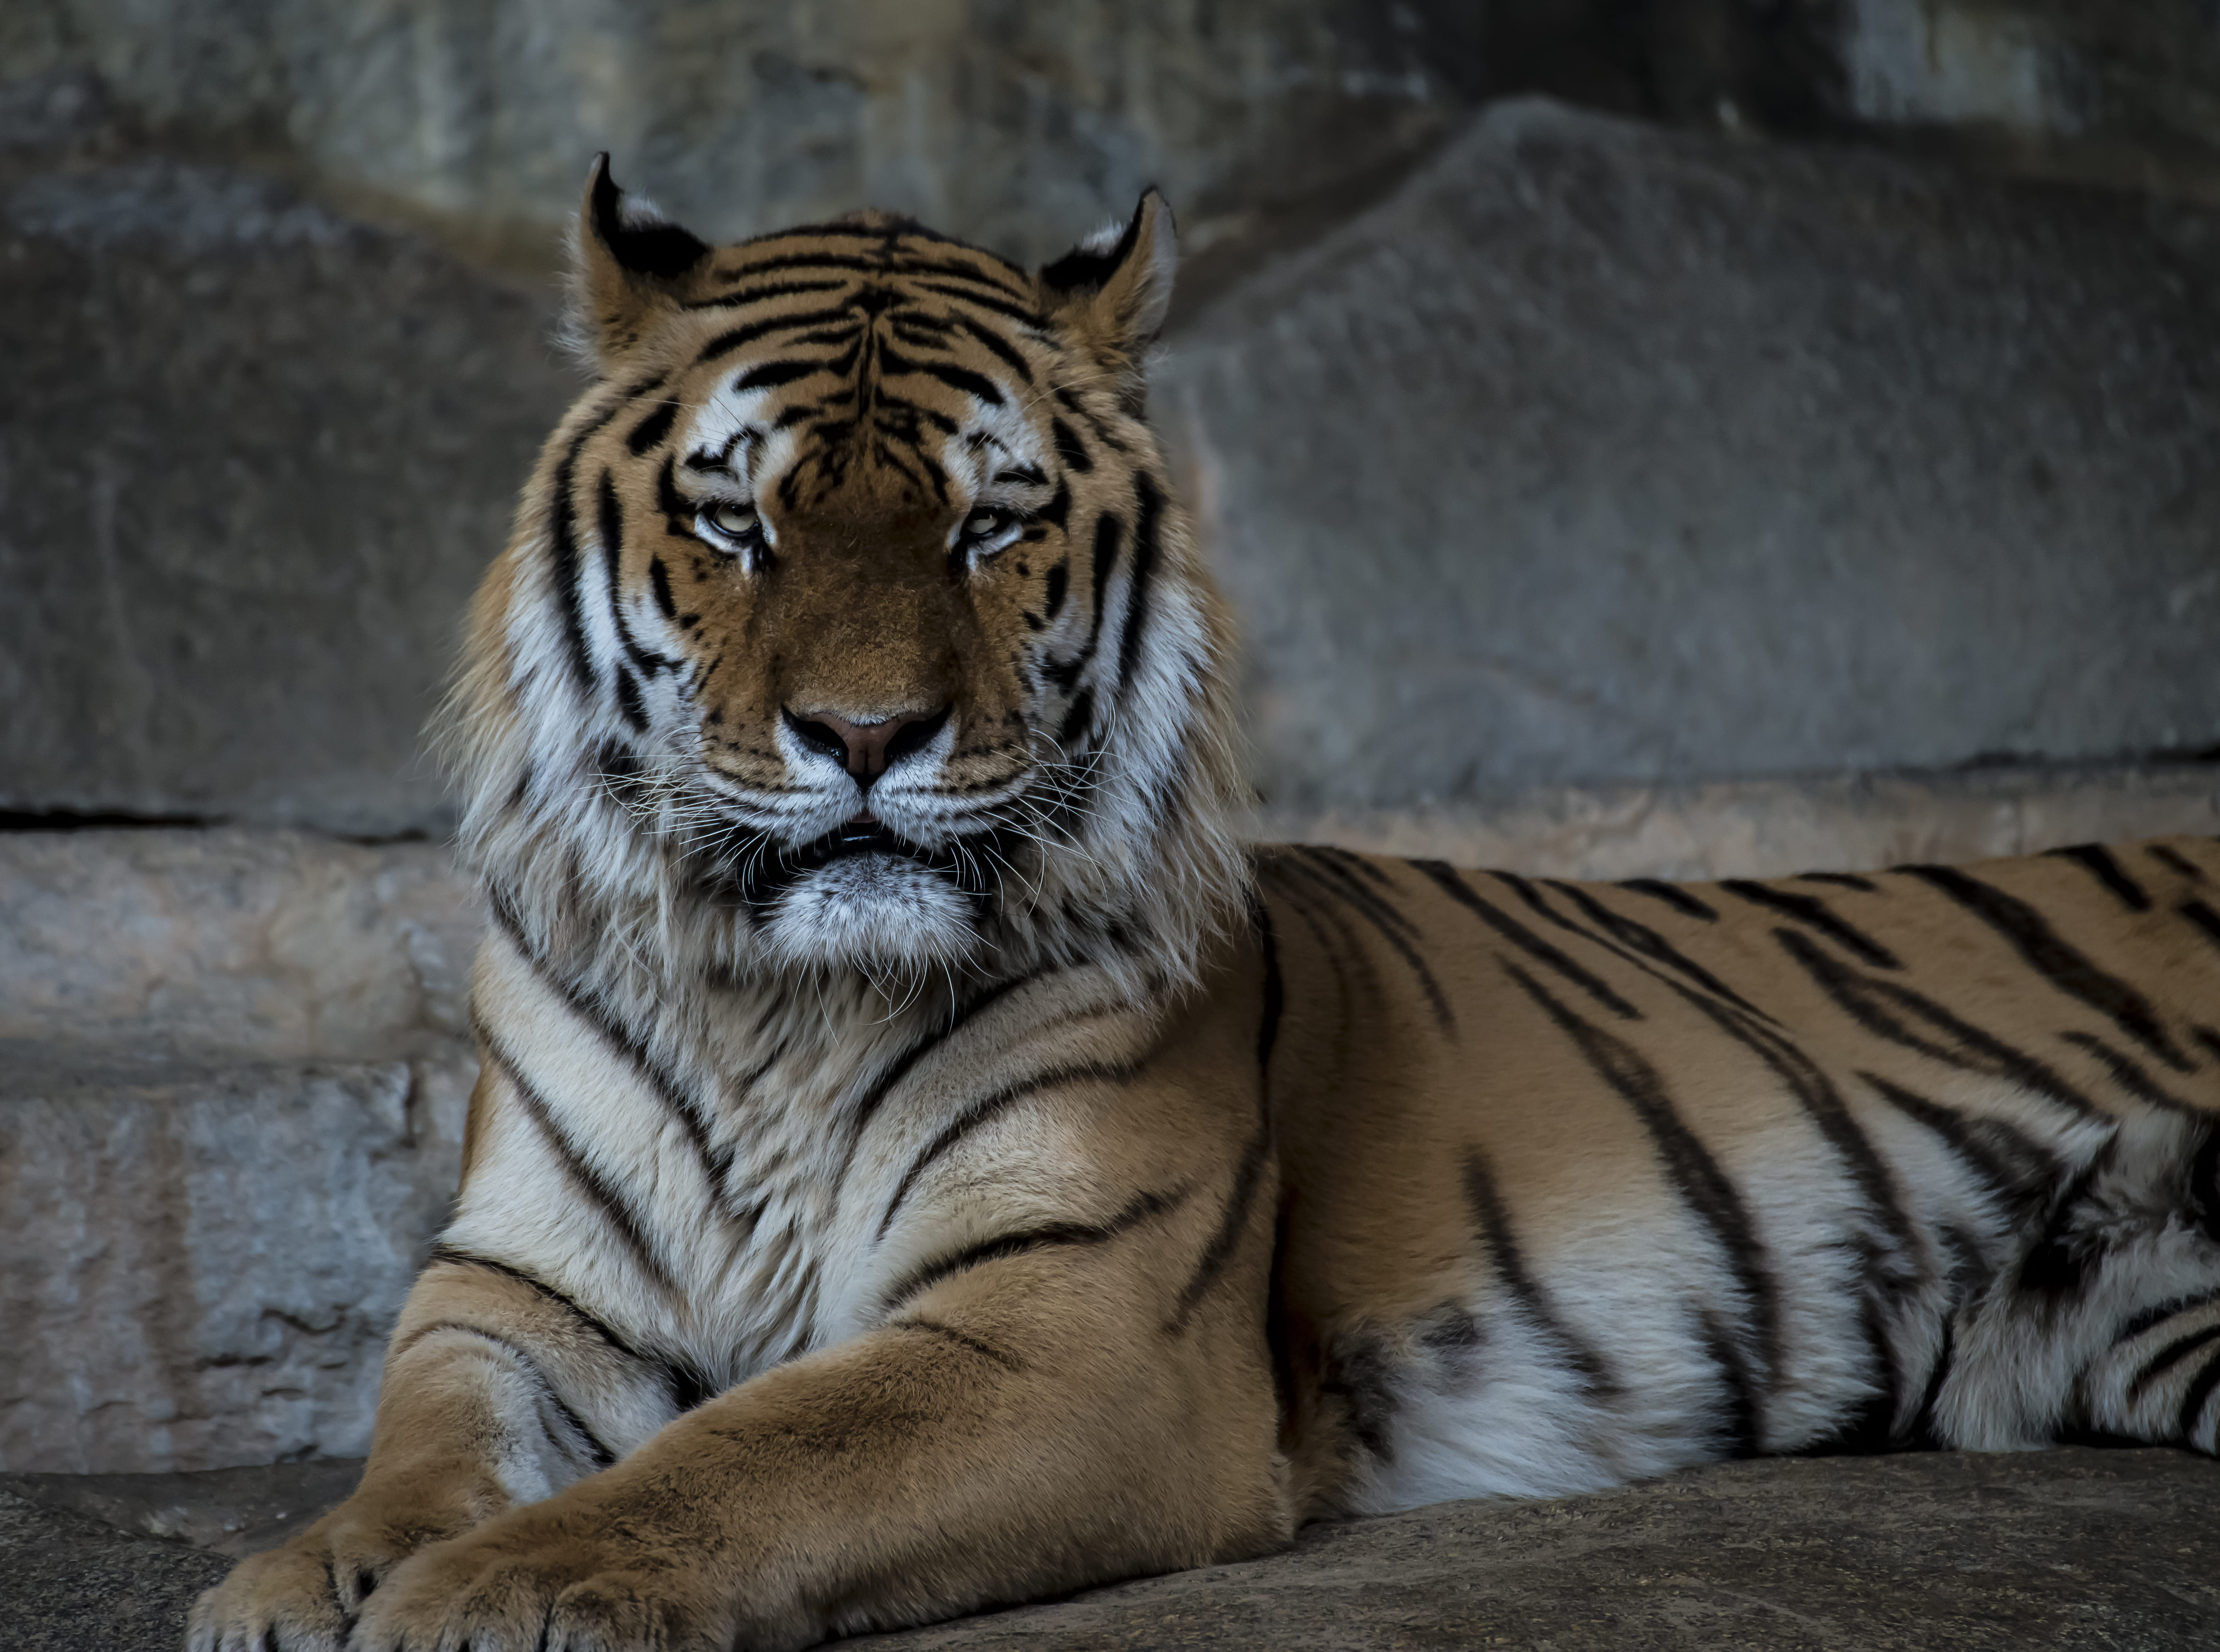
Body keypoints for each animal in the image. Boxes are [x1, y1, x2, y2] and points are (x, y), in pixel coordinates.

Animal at [190, 158, 2220, 1652]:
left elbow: (747, 1456)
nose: (867, 734)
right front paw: (306, 1576)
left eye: (990, 526)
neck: (783, 1002)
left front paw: (494, 1590)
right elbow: (423, 1438)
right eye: (738, 522)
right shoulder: (519, 1286)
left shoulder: (1072, 1325)